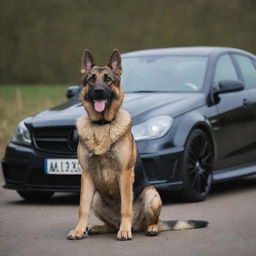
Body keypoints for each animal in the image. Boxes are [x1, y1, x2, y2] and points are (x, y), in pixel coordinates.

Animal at [67, 49, 207, 240]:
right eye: (91, 79)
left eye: (108, 79)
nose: (98, 91)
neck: (102, 125)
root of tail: (137, 225)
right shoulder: (87, 175)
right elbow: (82, 208)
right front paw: (79, 230)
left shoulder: (125, 173)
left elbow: (126, 207)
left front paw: (125, 232)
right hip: (97, 198)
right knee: (111, 225)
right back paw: (99, 227)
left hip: (151, 193)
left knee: (152, 221)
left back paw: (147, 228)